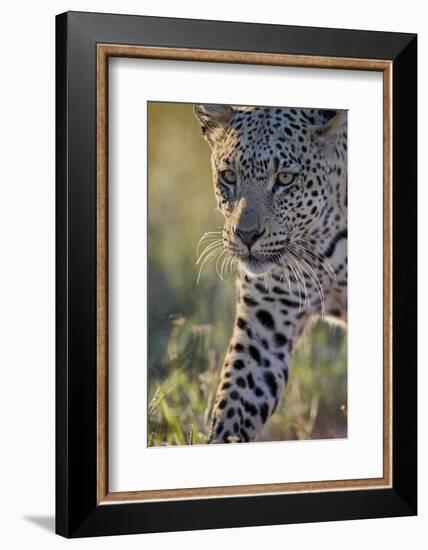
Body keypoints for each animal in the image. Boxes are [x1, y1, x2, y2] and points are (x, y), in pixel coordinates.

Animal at [194, 103, 348, 446]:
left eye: (285, 179)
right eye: (229, 176)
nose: (246, 236)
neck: (318, 242)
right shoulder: (263, 330)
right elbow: (233, 406)